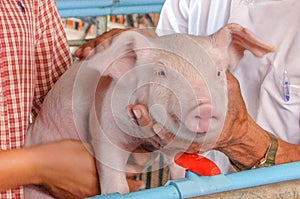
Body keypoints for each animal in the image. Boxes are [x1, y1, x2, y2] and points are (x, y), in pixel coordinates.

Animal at [24, 23, 276, 197]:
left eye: (218, 72)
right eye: (161, 73)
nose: (204, 107)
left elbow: (179, 170)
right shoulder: (104, 123)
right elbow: (115, 179)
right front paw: (117, 191)